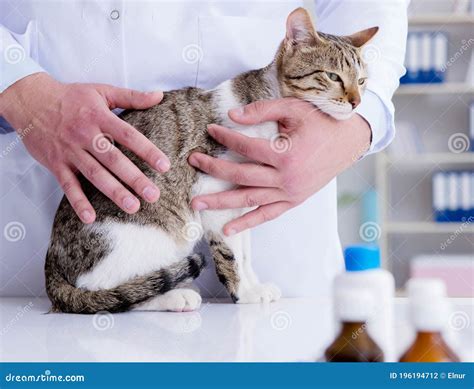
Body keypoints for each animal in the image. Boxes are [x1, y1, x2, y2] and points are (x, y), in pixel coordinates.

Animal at [44, 7, 378, 312]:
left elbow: (245, 251)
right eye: (333, 77)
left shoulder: (242, 203)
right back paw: (174, 297)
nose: (357, 102)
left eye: (362, 81)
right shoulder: (213, 194)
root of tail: (52, 261)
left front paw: (255, 285)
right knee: (105, 293)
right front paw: (244, 293)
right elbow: (231, 255)